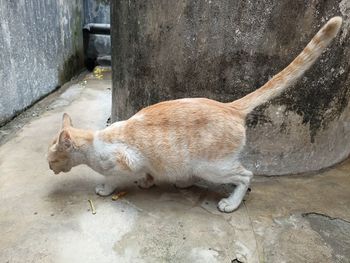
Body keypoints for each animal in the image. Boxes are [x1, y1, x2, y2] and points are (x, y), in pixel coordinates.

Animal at [47, 17, 342, 213]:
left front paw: (105, 189)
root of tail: (229, 105)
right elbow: (147, 173)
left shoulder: (123, 160)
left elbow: (111, 178)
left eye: (52, 159)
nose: (49, 168)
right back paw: (184, 183)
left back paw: (231, 202)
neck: (94, 143)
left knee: (246, 175)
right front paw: (146, 182)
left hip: (212, 166)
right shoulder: (143, 162)